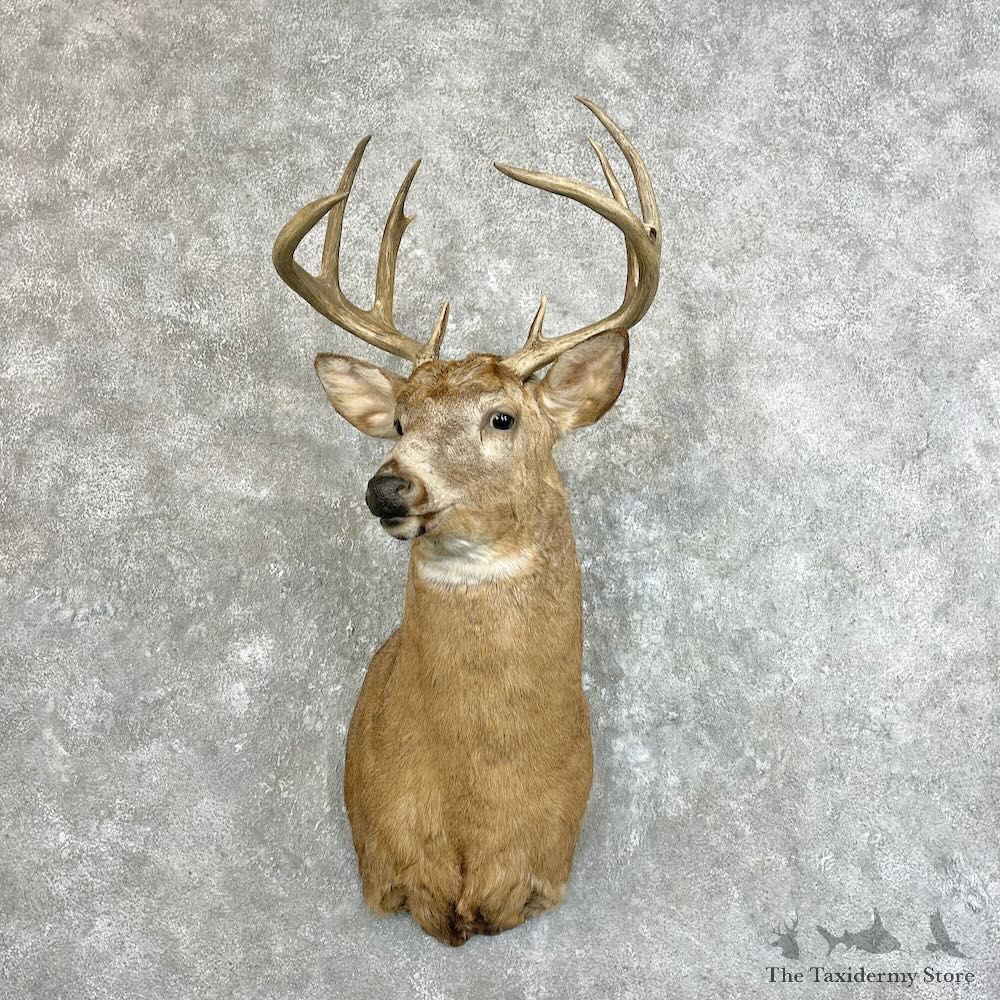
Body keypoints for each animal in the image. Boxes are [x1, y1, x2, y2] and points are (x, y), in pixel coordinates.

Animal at [272, 97, 661, 946]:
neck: (470, 809)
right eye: (399, 421)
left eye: (503, 417)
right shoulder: (387, 866)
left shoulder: (541, 874)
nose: (389, 487)